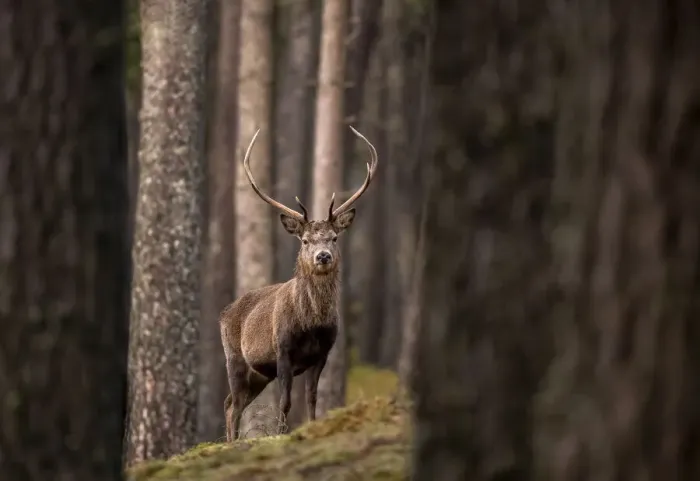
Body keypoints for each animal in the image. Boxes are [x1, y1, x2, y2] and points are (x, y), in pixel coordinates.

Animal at [219, 126, 378, 441]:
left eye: (334, 237)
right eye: (305, 241)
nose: (323, 256)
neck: (311, 324)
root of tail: (224, 313)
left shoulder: (322, 354)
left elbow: (312, 398)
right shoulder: (282, 351)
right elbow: (285, 401)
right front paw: (281, 434)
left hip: (259, 374)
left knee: (233, 402)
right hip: (235, 358)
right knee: (232, 403)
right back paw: (231, 442)